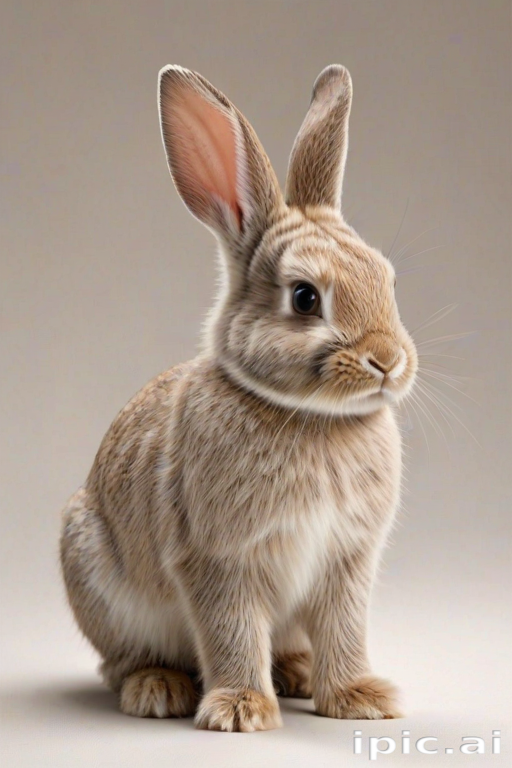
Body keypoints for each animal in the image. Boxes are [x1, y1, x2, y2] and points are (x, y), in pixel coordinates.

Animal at [60, 63, 418, 732]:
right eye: (305, 298)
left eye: (385, 279)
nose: (389, 360)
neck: (311, 417)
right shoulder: (218, 559)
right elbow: (231, 632)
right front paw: (240, 711)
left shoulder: (347, 562)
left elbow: (345, 630)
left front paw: (361, 699)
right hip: (99, 580)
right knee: (120, 662)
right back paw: (158, 690)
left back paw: (296, 675)